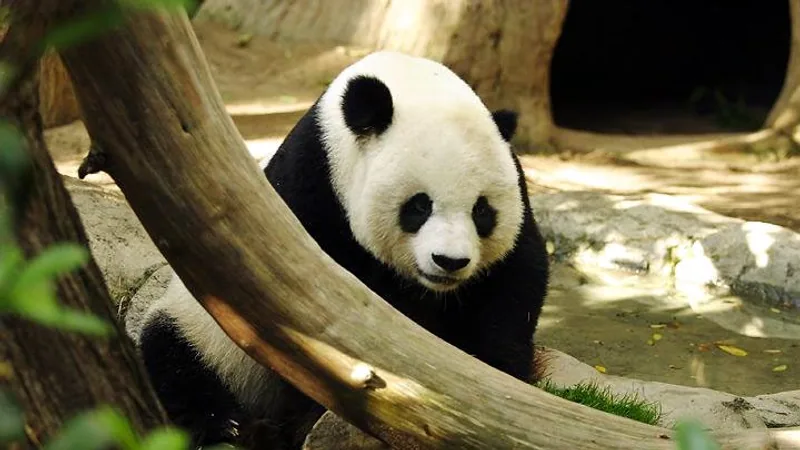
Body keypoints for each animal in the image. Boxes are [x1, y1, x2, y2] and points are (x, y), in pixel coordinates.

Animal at [137, 51, 550, 449]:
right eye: (419, 206)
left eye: (482, 211)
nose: (449, 262)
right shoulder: (312, 195)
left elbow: (514, 284)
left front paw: (495, 380)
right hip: (201, 331)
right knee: (173, 359)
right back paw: (230, 425)